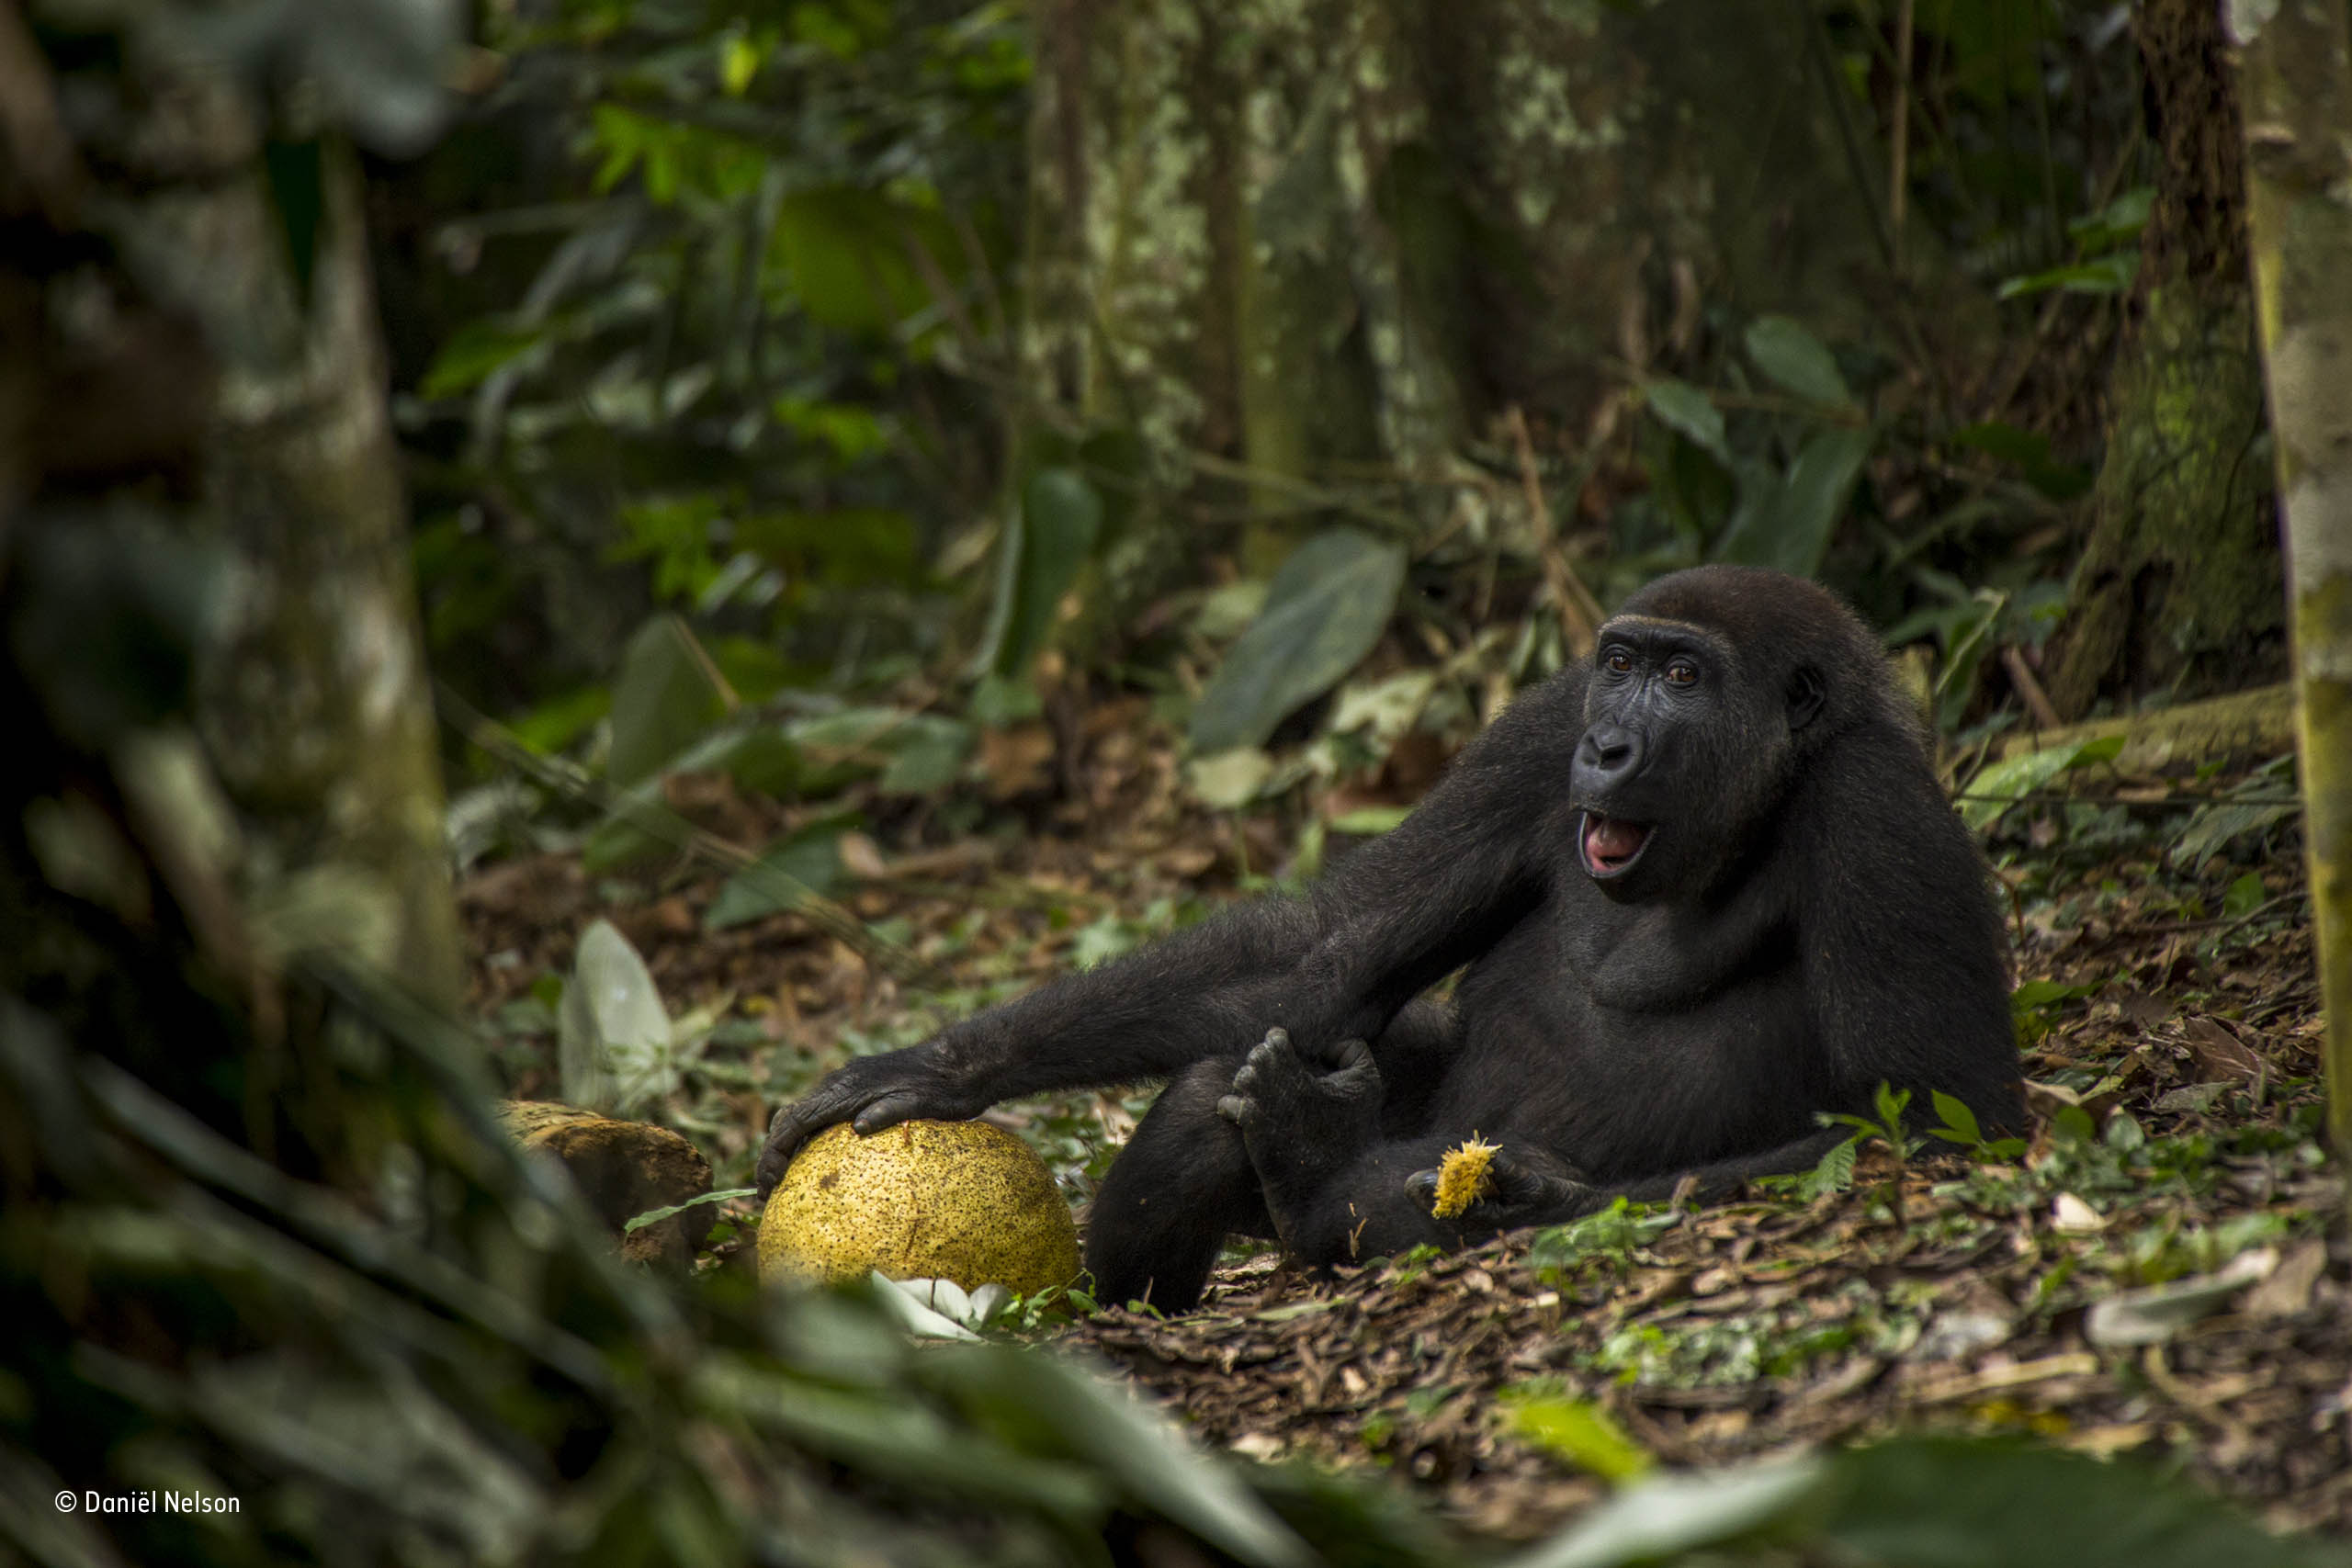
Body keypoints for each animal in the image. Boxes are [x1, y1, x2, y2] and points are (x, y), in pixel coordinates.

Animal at [757, 564, 2022, 1316]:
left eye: (1683, 675)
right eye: (1618, 665)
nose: (1609, 747)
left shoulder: (1875, 811)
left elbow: (1934, 1120)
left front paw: (1530, 1199)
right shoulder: (1536, 729)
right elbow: (1327, 952)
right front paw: (940, 1065)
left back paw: (1316, 1175)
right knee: (1227, 1076)